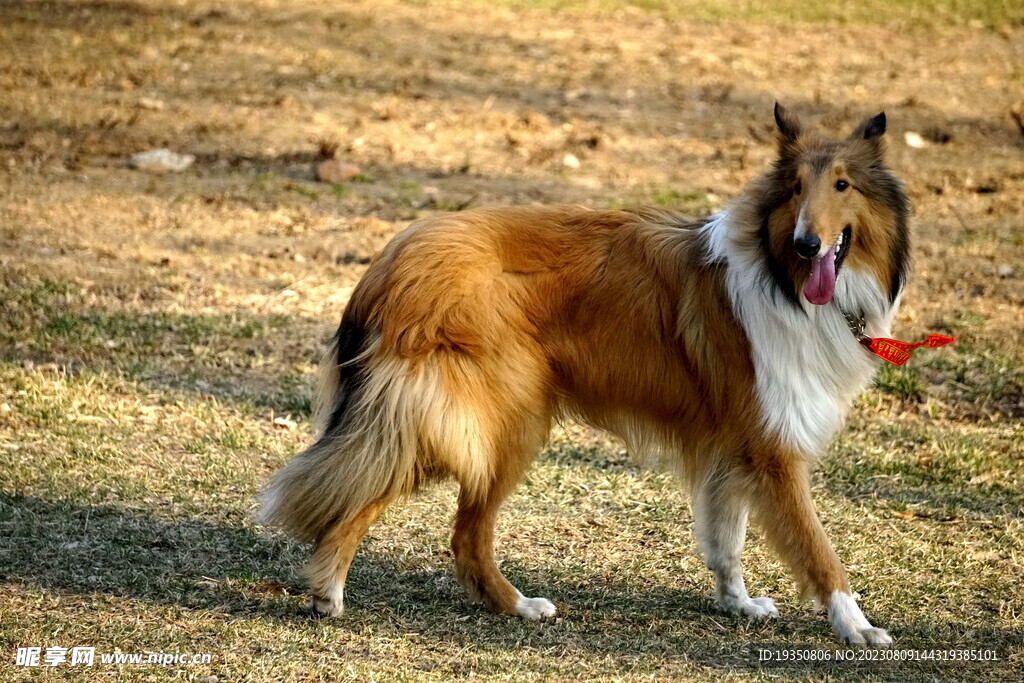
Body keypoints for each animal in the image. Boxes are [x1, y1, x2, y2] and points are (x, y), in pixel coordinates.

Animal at [260, 102, 909, 647]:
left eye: (843, 185)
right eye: (796, 188)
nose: (807, 244)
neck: (782, 279)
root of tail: (391, 263)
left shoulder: (735, 448)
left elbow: (726, 539)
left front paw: (739, 603)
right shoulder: (774, 452)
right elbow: (818, 549)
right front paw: (858, 626)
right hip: (491, 422)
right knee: (451, 528)